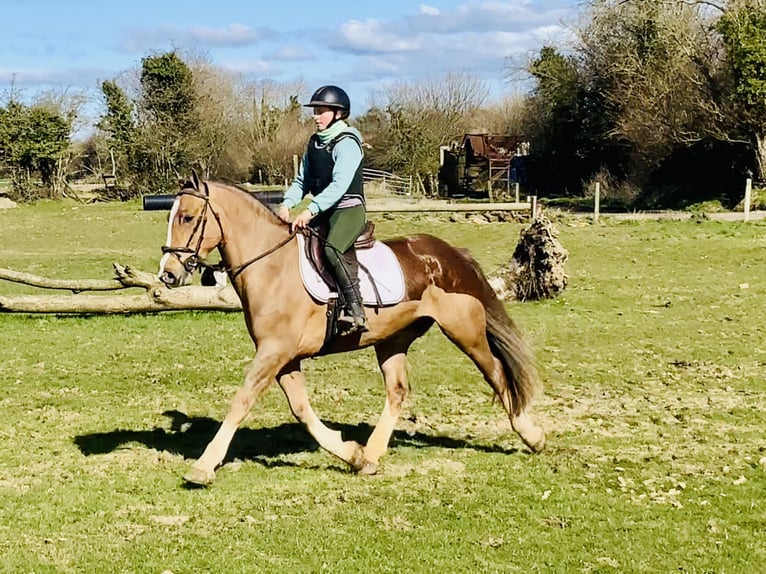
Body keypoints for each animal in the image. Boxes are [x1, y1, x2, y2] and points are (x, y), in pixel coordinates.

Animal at [158, 174, 544, 486]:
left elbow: (242, 400)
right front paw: (353, 455)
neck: (273, 267)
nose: (168, 274)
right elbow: (301, 409)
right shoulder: (284, 357)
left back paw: (531, 435)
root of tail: (450, 253)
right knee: (398, 391)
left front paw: (203, 466)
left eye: (187, 217)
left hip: (465, 331)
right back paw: (371, 456)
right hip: (393, 339)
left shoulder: (274, 352)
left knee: (496, 372)